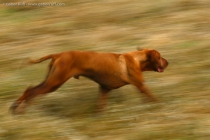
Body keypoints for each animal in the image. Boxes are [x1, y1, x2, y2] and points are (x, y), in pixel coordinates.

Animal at [9, 48, 169, 114]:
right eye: (160, 56)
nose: (168, 62)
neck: (137, 58)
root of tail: (58, 54)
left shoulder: (104, 89)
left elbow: (100, 106)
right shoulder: (141, 85)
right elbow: (152, 97)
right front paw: (160, 107)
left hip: (50, 80)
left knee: (29, 90)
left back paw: (16, 108)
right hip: (54, 83)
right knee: (32, 92)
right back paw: (19, 109)